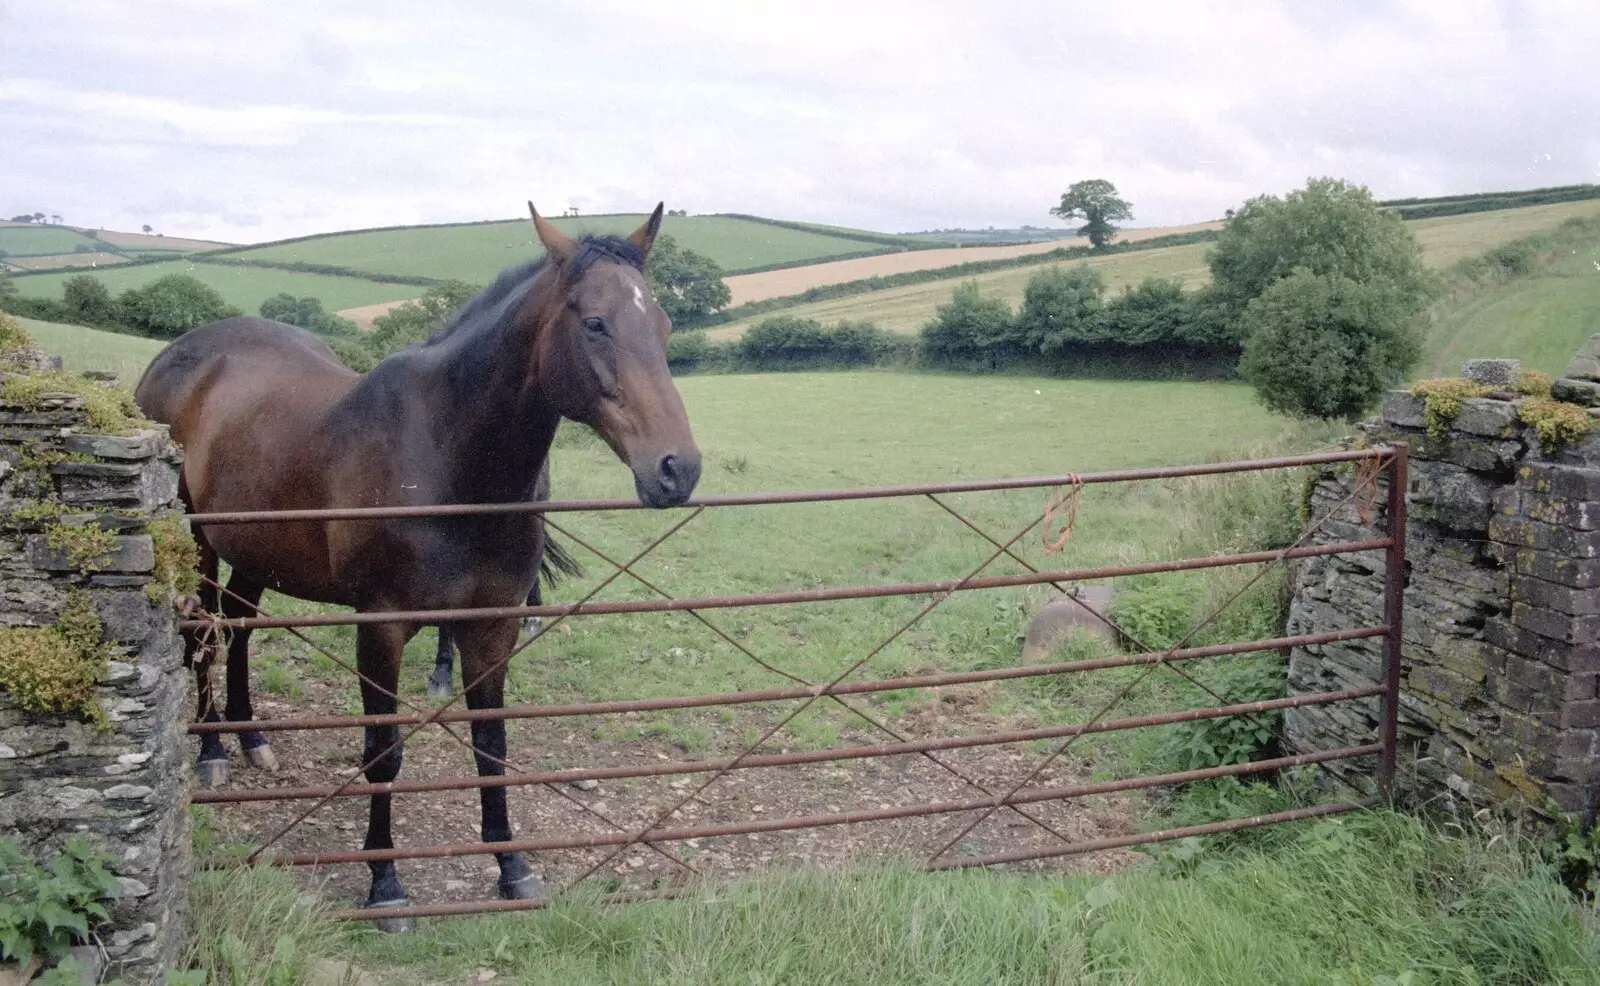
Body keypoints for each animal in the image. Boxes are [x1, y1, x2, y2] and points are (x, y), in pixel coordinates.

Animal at [140, 204, 704, 921]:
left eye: (662, 325)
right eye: (596, 322)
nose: (677, 468)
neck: (447, 456)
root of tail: (170, 361)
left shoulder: (491, 626)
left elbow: (491, 748)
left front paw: (512, 868)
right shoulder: (380, 627)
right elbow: (384, 753)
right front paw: (385, 884)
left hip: (255, 554)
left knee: (238, 630)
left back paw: (251, 739)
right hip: (199, 545)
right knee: (206, 636)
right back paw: (213, 747)